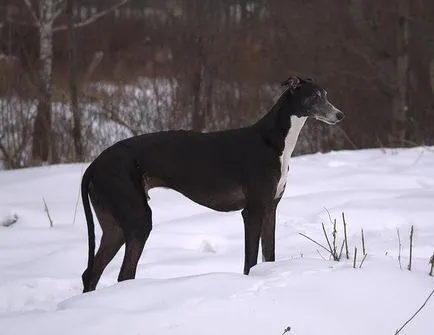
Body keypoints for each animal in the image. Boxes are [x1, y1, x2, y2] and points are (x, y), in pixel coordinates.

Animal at [81, 75, 344, 292]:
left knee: (90, 273)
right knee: (124, 274)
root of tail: (94, 165)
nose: (340, 115)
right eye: (313, 96)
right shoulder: (253, 211)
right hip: (138, 220)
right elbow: (250, 262)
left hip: (115, 226)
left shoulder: (270, 209)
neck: (272, 140)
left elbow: (268, 255)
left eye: (326, 94)